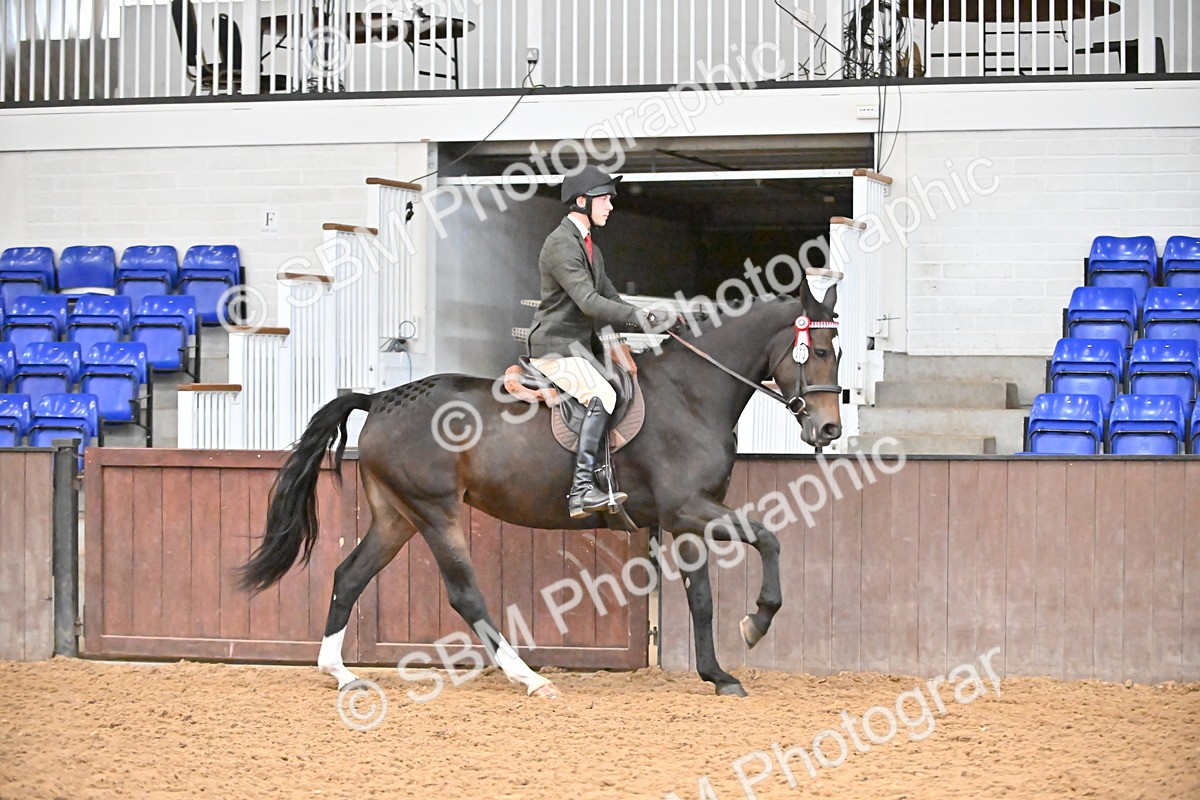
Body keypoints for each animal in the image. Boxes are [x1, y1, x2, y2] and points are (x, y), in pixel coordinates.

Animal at [239, 282, 842, 698]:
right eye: (819, 351)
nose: (829, 429)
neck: (690, 393)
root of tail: (382, 397)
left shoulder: (688, 518)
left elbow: (702, 599)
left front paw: (717, 675)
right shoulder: (689, 509)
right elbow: (768, 539)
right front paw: (757, 622)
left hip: (397, 516)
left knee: (350, 575)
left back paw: (339, 672)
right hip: (434, 514)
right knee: (464, 594)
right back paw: (528, 677)